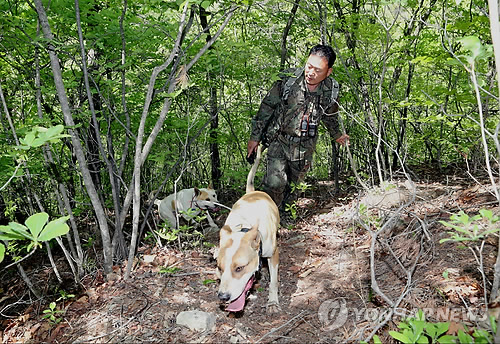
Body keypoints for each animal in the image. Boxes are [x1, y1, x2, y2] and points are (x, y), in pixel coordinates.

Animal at [216, 146, 282, 314]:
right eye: (219, 267)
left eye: (239, 268)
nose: (223, 297)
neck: (243, 228)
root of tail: (252, 192)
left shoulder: (274, 254)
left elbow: (273, 282)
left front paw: (272, 302)